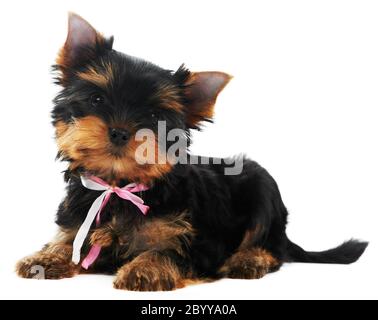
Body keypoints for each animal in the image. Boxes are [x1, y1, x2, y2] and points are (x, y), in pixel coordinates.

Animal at [16, 14, 368, 290]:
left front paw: (146, 268)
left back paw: (249, 259)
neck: (119, 186)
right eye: (97, 100)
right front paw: (44, 258)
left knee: (270, 245)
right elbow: (66, 240)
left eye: (154, 117)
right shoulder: (77, 222)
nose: (120, 131)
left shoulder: (203, 245)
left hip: (262, 186)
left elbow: (169, 250)